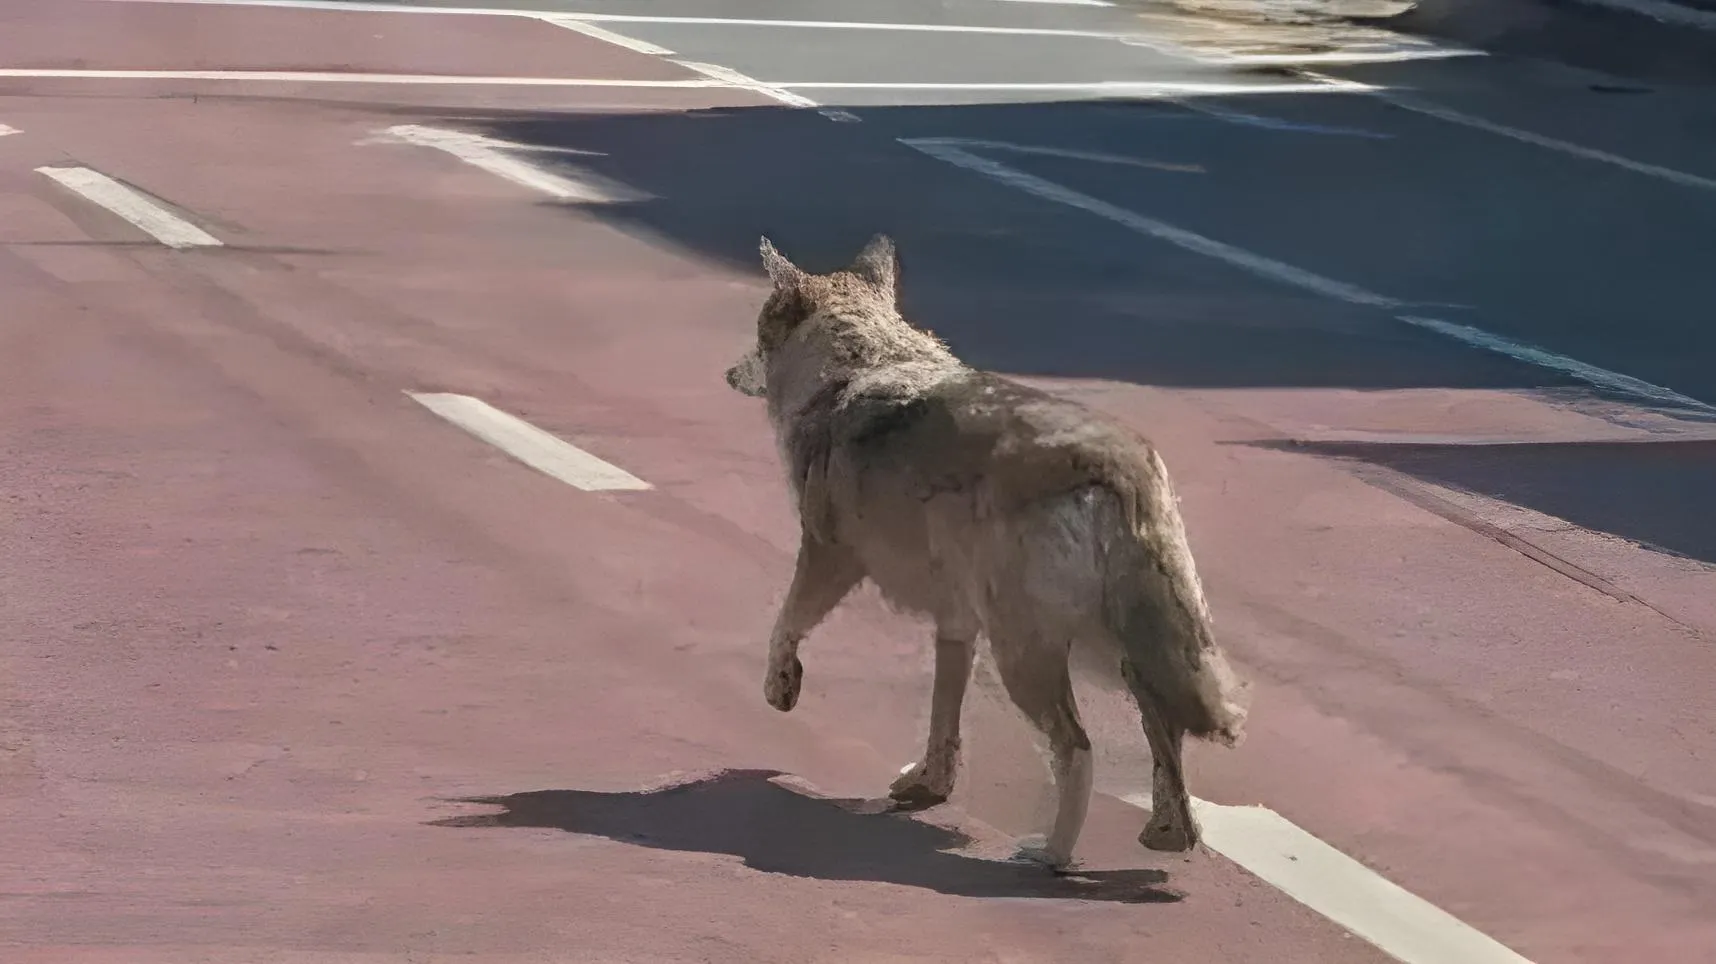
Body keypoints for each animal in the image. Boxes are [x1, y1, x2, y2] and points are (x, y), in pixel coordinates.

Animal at [724, 234, 1250, 869]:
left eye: (757, 338)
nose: (727, 373)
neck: (860, 363)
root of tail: (1120, 461)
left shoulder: (828, 556)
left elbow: (784, 626)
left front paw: (781, 688)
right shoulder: (956, 624)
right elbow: (942, 721)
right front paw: (927, 786)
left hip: (1028, 656)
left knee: (1078, 750)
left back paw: (1050, 856)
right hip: (1119, 652)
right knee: (1164, 732)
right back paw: (1168, 835)